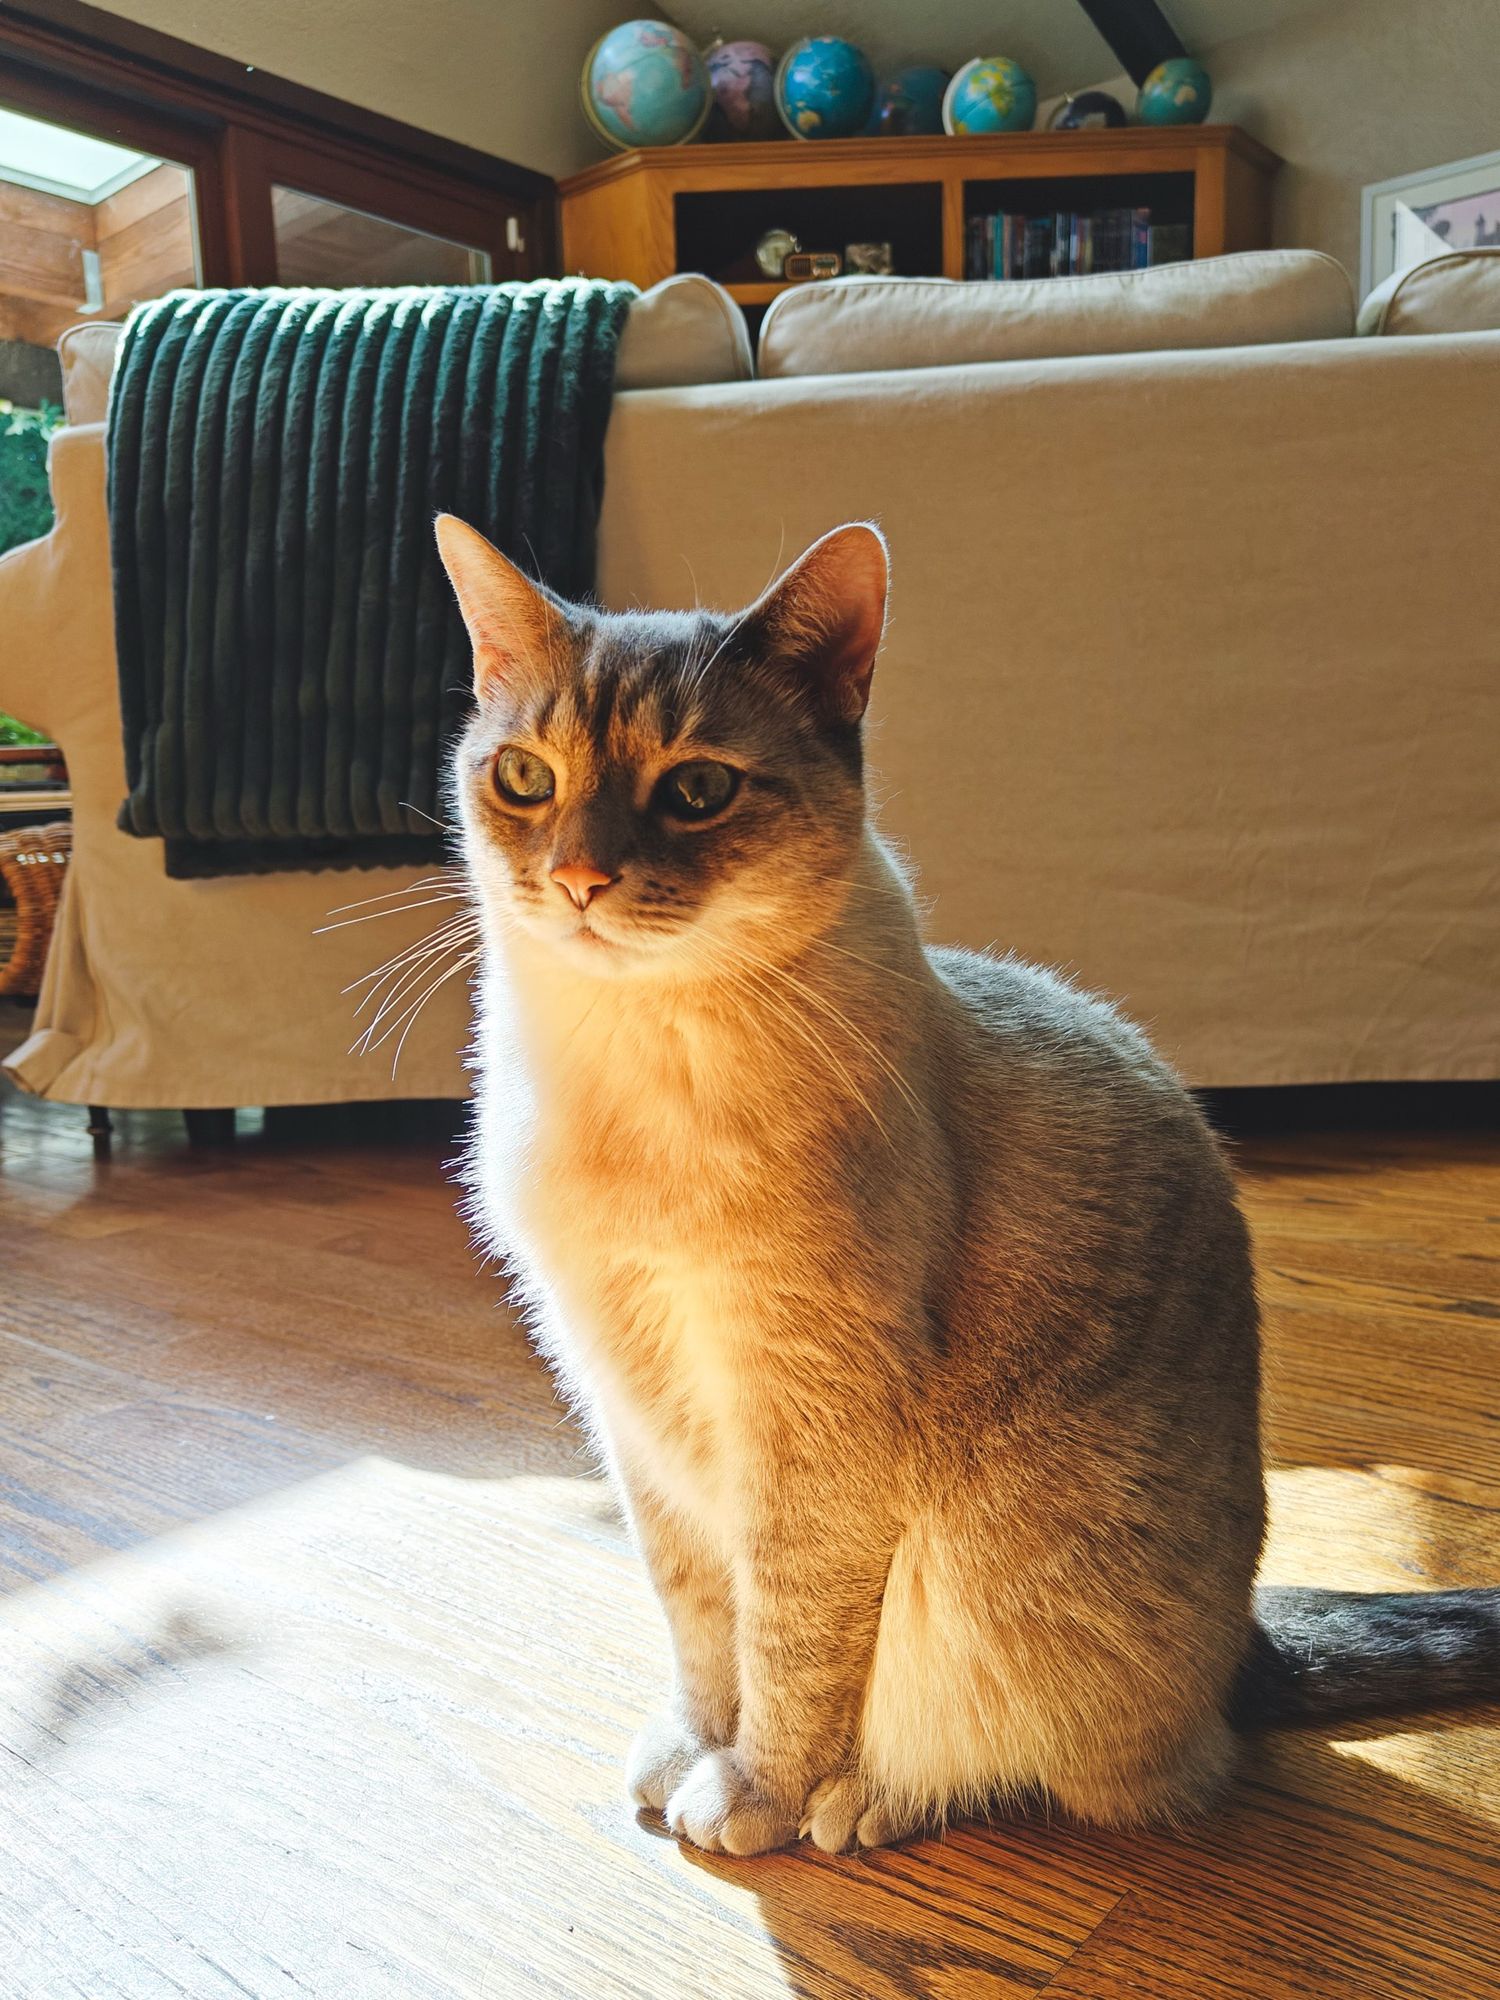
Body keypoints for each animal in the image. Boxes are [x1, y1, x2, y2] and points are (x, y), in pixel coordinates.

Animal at [434, 516, 1500, 1856]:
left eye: (697, 790)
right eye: (526, 778)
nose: (577, 879)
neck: (626, 1064)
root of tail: (1242, 1647)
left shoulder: (803, 1423)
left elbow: (789, 1640)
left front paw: (751, 1792)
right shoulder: (632, 1406)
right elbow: (698, 1617)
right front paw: (691, 1746)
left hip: (997, 1592)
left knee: (1062, 1762)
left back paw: (862, 1798)